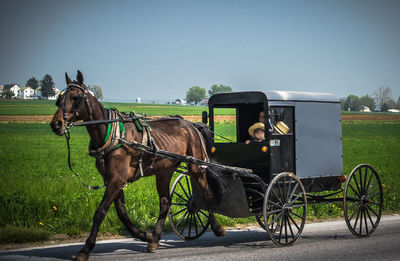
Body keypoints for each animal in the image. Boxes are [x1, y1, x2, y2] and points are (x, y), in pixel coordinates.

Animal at [50, 69, 225, 260]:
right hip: (164, 171)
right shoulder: (112, 180)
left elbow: (100, 213)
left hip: (195, 166)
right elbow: (122, 213)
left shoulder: (116, 180)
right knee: (165, 202)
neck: (113, 135)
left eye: (75, 97)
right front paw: (144, 235)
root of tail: (191, 125)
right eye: (59, 98)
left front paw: (85, 249)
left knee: (206, 194)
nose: (56, 124)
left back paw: (217, 228)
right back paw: (155, 238)